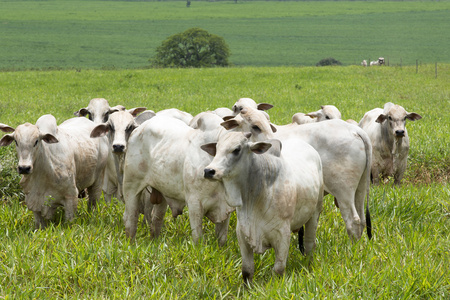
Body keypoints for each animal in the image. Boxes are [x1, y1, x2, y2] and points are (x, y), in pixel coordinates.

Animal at [123, 113, 236, 245]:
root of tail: (138, 129)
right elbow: (198, 238)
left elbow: (222, 239)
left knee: (156, 219)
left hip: (162, 192)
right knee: (131, 219)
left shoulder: (225, 209)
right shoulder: (194, 204)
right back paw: (130, 243)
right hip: (130, 187)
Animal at [201, 132, 324, 284]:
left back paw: (309, 266)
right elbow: (247, 271)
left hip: (315, 213)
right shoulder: (242, 233)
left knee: (309, 245)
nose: (209, 171)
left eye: (237, 149)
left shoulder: (283, 234)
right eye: (217, 149)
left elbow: (278, 270)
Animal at [229, 106, 372, 240]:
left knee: (353, 221)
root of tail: (355, 130)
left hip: (343, 191)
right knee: (362, 219)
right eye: (255, 126)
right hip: (360, 188)